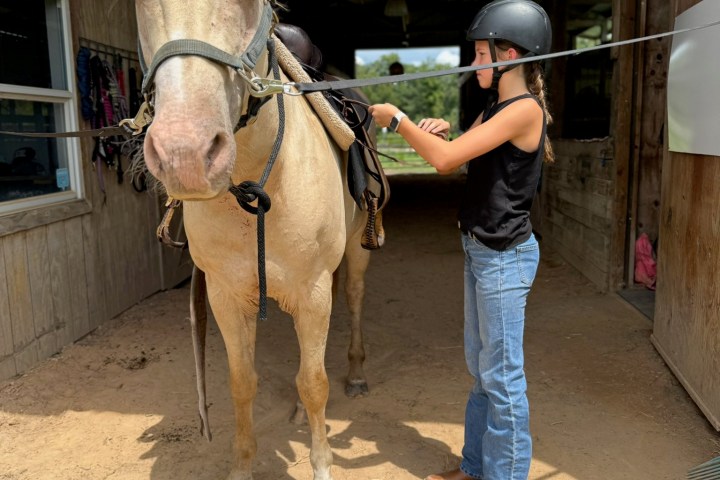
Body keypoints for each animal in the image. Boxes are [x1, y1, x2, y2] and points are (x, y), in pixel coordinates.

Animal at [133, 1, 382, 478]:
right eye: (139, 7)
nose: (185, 155)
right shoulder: (227, 297)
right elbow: (242, 383)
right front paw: (242, 465)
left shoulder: (313, 293)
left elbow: (314, 383)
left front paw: (321, 465)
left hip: (356, 255)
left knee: (356, 298)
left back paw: (359, 375)